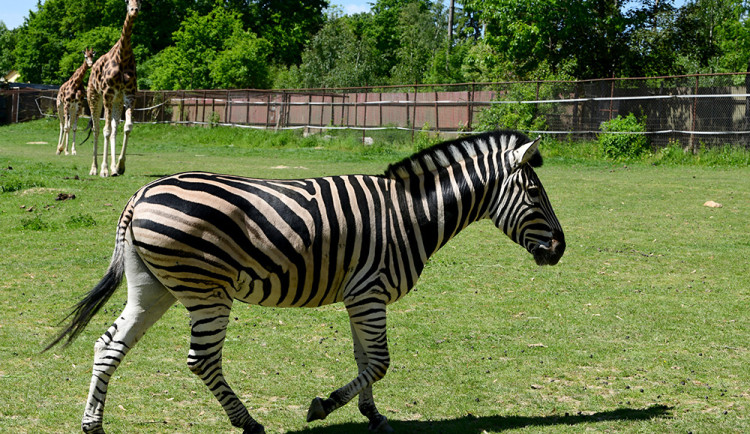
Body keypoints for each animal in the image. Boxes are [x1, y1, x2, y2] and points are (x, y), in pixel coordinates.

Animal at [45, 130, 564, 434]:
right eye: (533, 191)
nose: (560, 249)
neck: (412, 214)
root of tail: (142, 192)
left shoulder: (360, 296)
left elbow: (365, 359)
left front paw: (373, 416)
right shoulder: (370, 291)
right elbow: (380, 361)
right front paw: (323, 406)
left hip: (154, 287)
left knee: (109, 344)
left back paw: (93, 424)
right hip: (206, 291)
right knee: (201, 360)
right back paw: (249, 423)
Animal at [88, 0, 141, 176]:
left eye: (140, 2)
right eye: (127, 1)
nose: (134, 10)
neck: (122, 56)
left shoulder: (129, 94)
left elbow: (127, 127)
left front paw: (119, 166)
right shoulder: (107, 94)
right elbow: (105, 130)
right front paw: (103, 170)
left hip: (117, 101)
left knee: (114, 128)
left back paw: (112, 168)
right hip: (94, 97)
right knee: (97, 129)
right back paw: (94, 168)